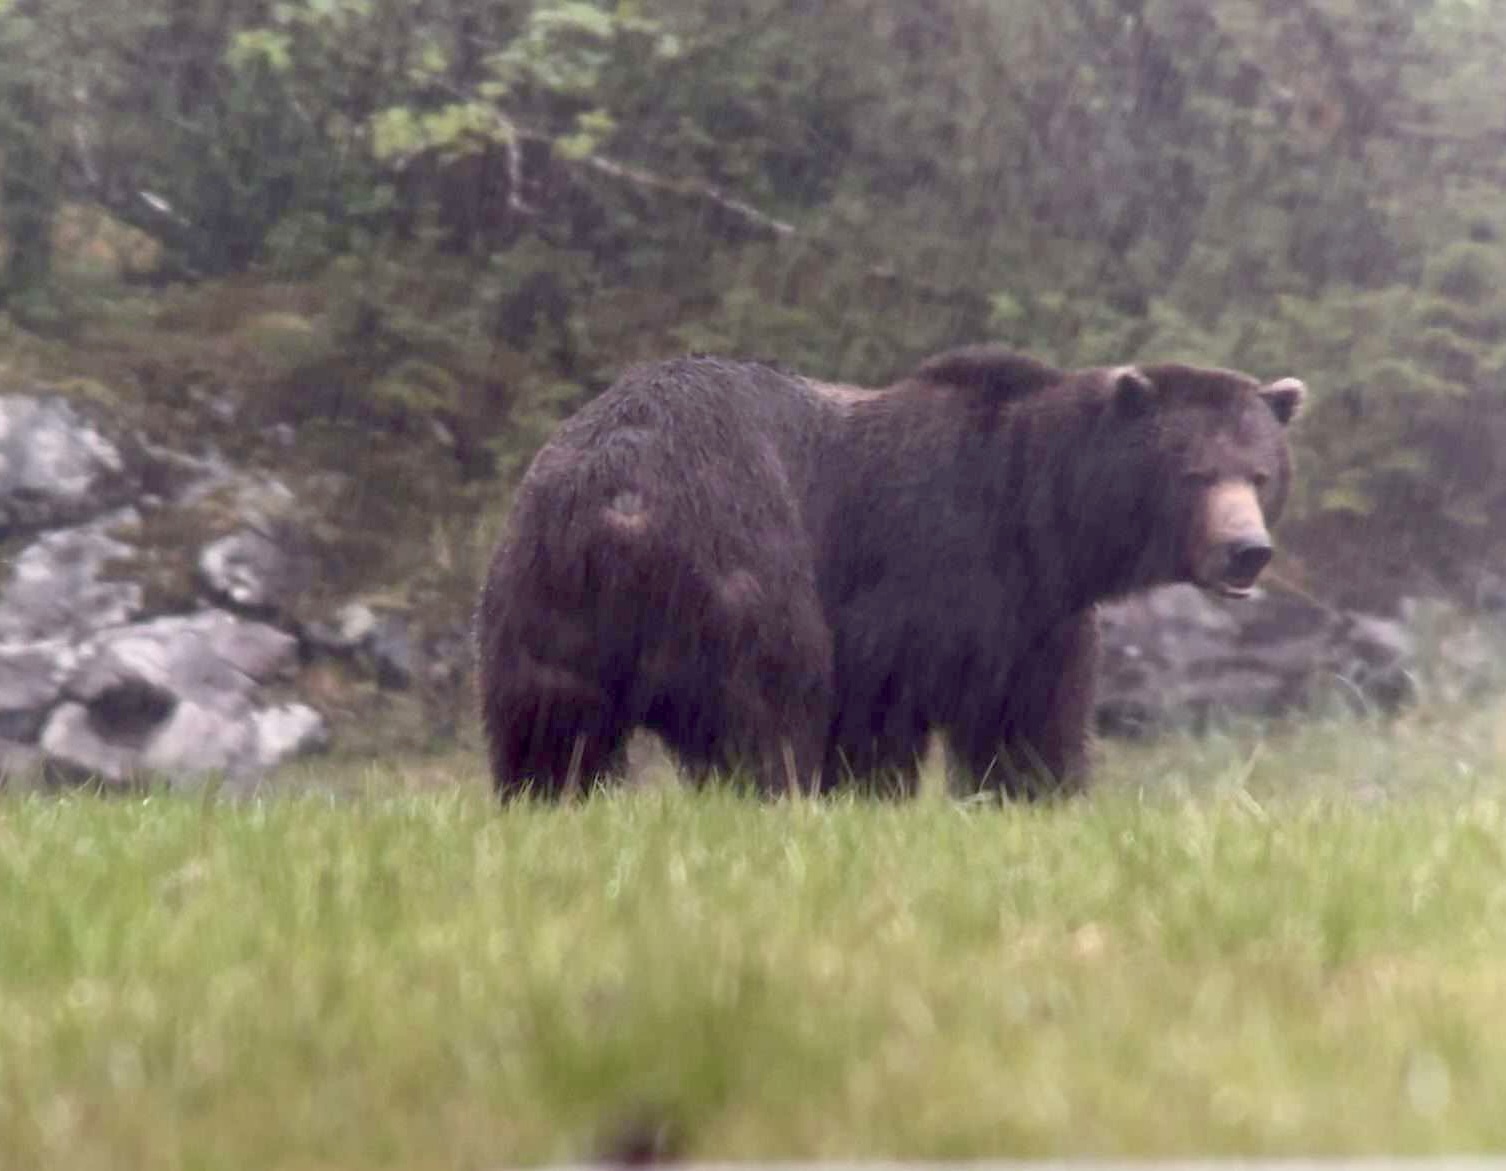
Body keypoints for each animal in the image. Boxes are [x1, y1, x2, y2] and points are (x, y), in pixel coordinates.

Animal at [475, 341, 1301, 800]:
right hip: (739, 557)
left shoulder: (1035, 619)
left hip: (540, 593)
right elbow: (877, 708)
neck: (1040, 520)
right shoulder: (922, 560)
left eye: (1258, 473)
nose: (1247, 549)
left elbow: (1030, 724)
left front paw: (1036, 794)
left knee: (548, 731)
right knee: (765, 706)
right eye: (1196, 473)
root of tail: (621, 502)